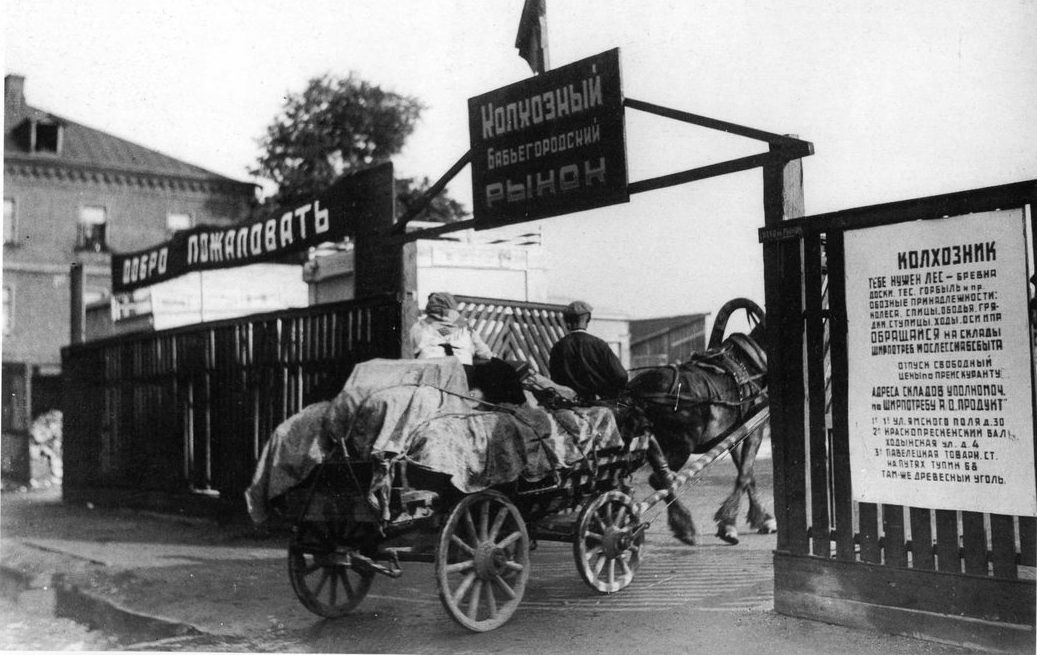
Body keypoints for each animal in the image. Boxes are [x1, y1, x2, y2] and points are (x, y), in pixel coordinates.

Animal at [618, 298, 775, 543]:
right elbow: (744, 473)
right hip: (681, 446)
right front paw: (728, 524)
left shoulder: (734, 433)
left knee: (655, 479)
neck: (749, 366)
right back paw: (685, 526)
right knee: (661, 480)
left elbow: (747, 473)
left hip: (651, 443)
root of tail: (636, 391)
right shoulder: (754, 429)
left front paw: (761, 518)